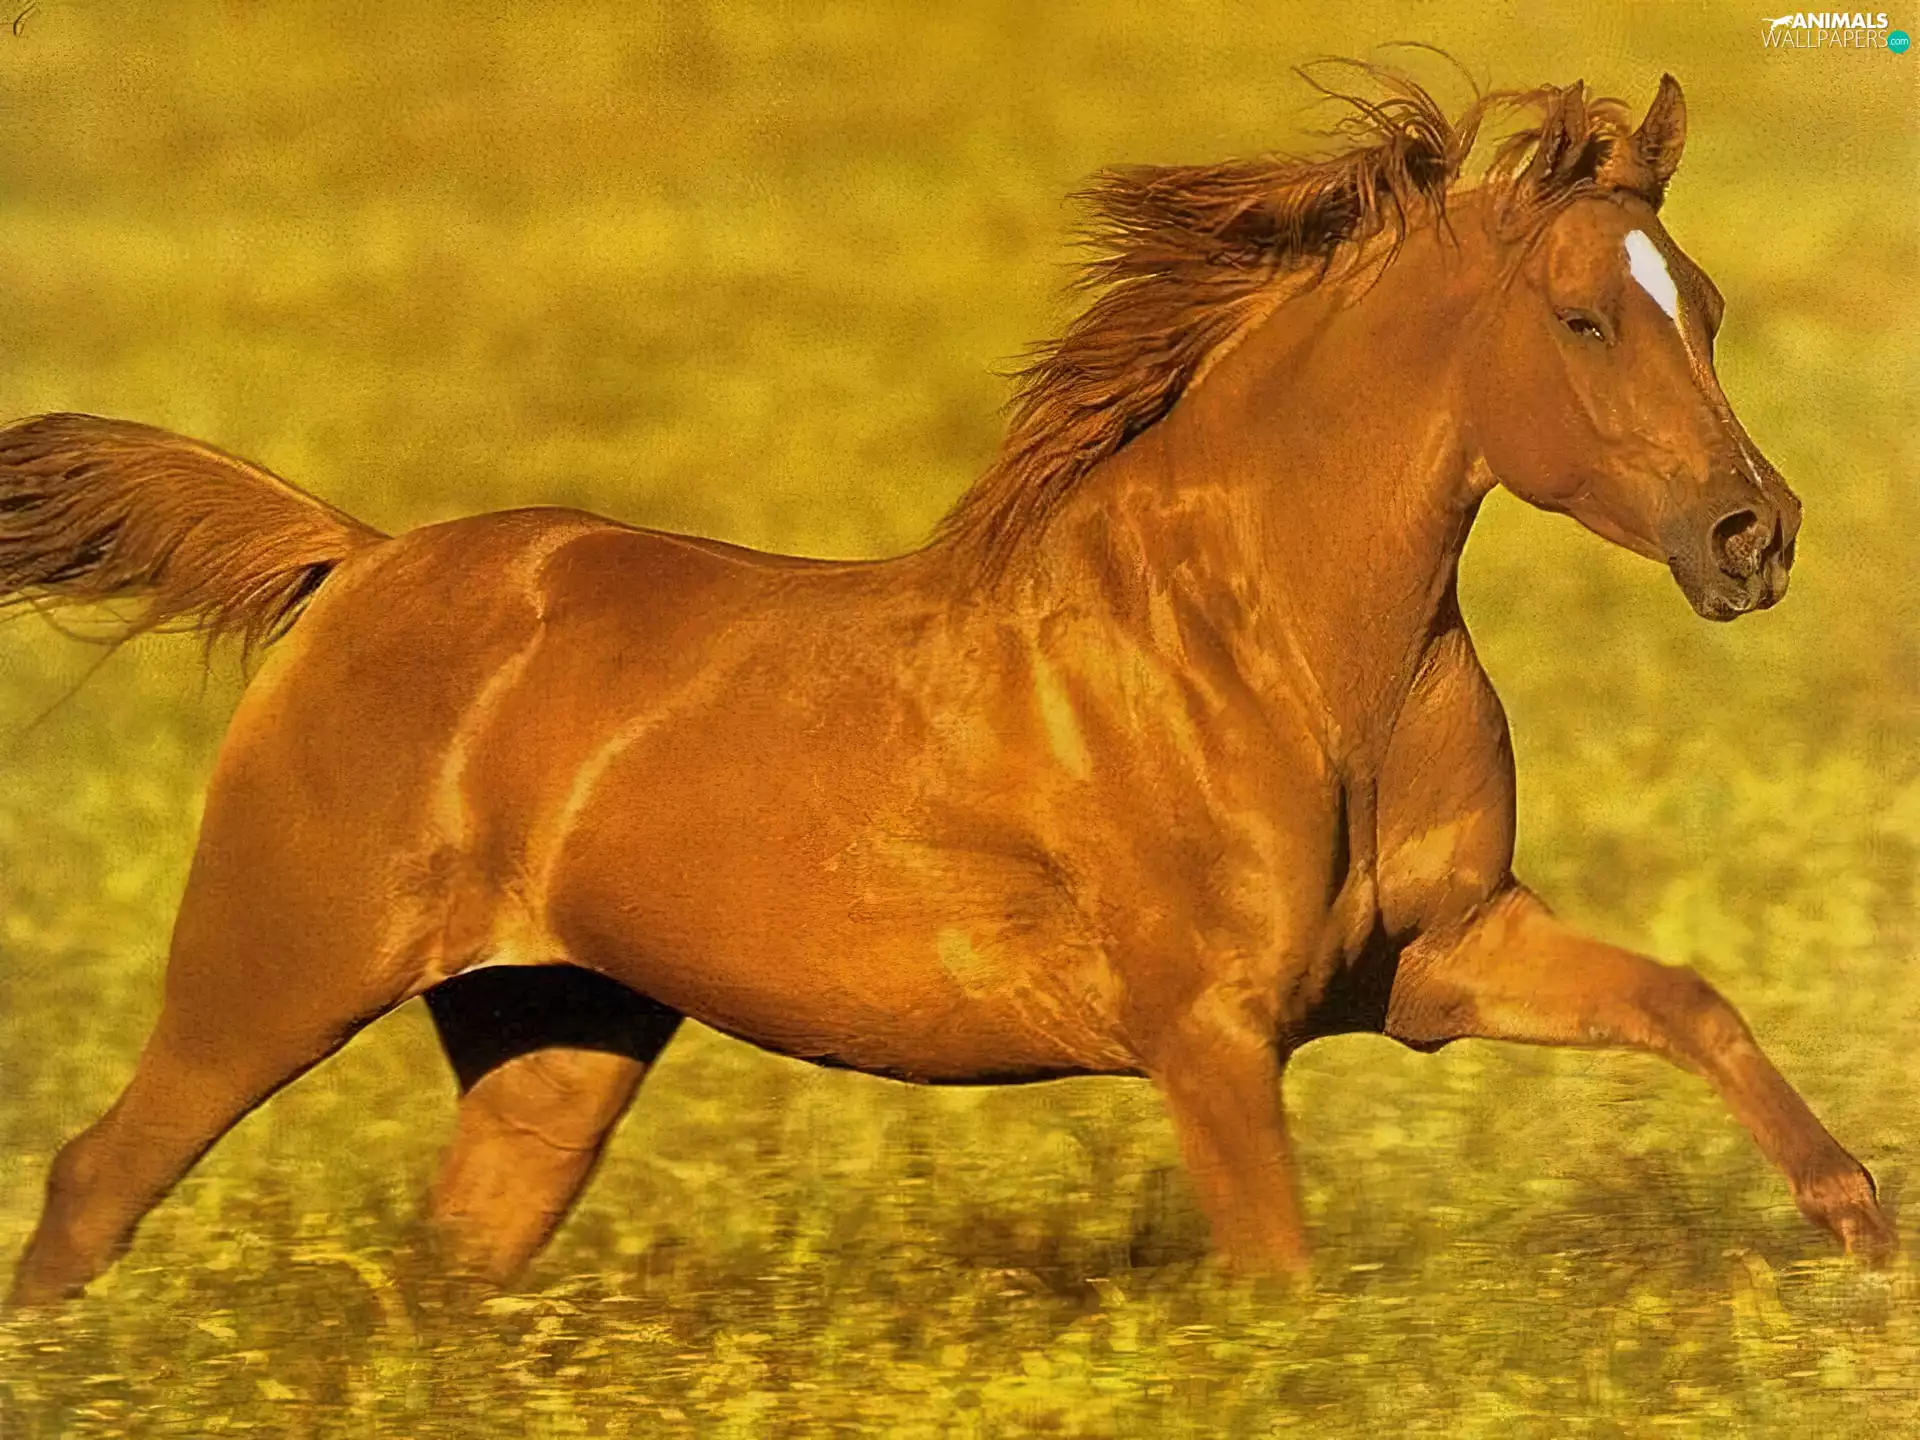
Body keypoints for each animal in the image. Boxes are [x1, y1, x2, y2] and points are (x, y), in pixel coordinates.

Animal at [0, 69, 1892, 1307]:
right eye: (1583, 317)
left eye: (1705, 303)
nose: (1756, 534)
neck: (1274, 653)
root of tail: (359, 561)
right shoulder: (1209, 1031)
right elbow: (1282, 1273)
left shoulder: (1435, 960)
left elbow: (1688, 1002)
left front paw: (1859, 1222)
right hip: (277, 970)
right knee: (95, 1182)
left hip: (555, 1037)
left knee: (455, 1261)